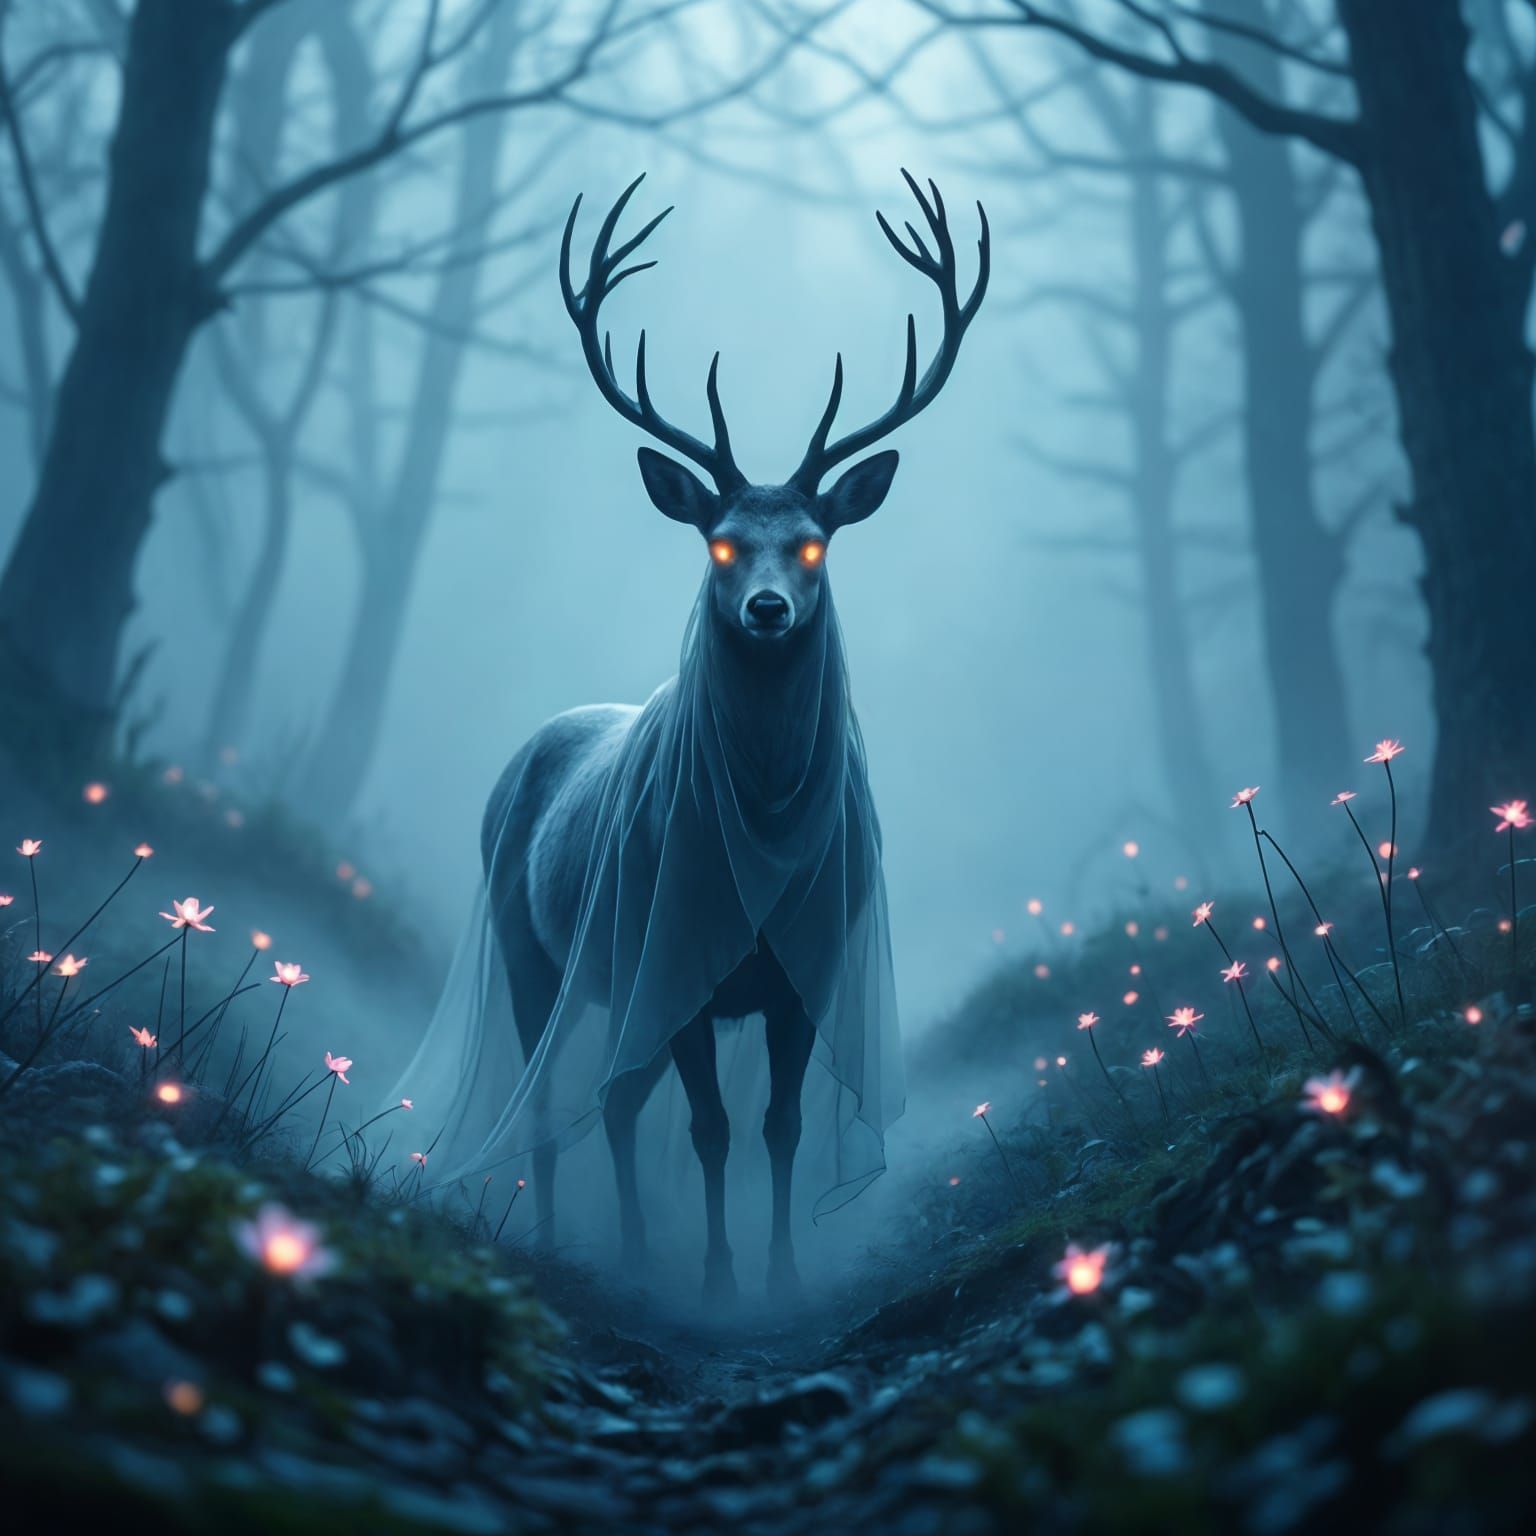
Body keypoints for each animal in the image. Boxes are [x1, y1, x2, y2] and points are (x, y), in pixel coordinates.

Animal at [479, 172, 988, 1305]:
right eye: (718, 542)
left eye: (813, 543)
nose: (764, 610)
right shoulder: (683, 967)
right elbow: (711, 1128)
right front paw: (715, 1283)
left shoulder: (806, 972)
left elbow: (780, 1126)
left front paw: (783, 1276)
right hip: (532, 948)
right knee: (550, 1102)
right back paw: (567, 1242)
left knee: (617, 1101)